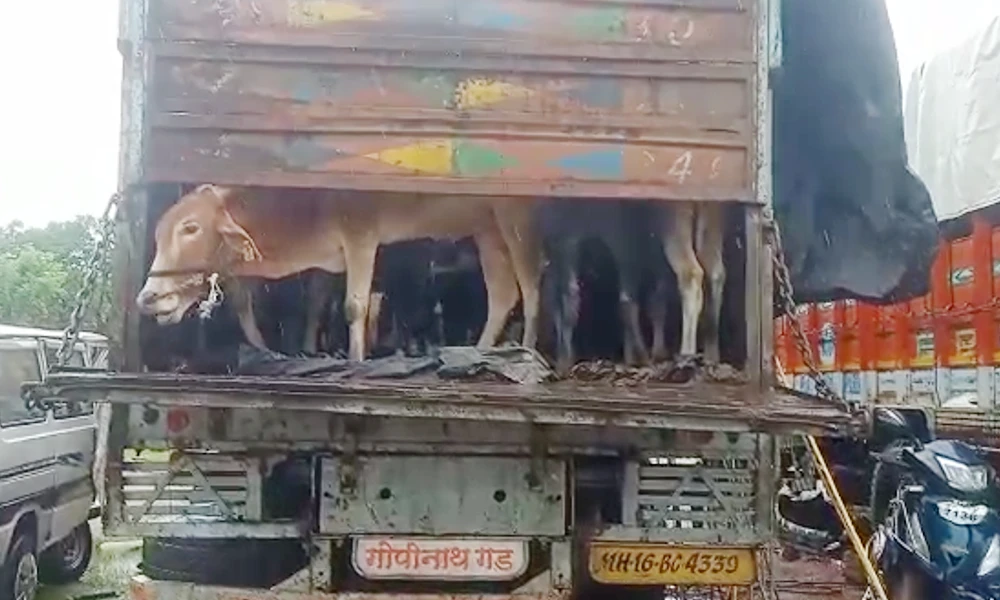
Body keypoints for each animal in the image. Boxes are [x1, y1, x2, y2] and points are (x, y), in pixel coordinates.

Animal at [137, 184, 544, 360]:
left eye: (190, 228)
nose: (149, 298)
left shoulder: (361, 234)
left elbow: (354, 307)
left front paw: (356, 362)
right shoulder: (329, 261)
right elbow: (317, 305)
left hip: (516, 219)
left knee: (532, 291)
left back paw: (526, 354)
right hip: (487, 228)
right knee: (503, 293)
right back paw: (480, 352)